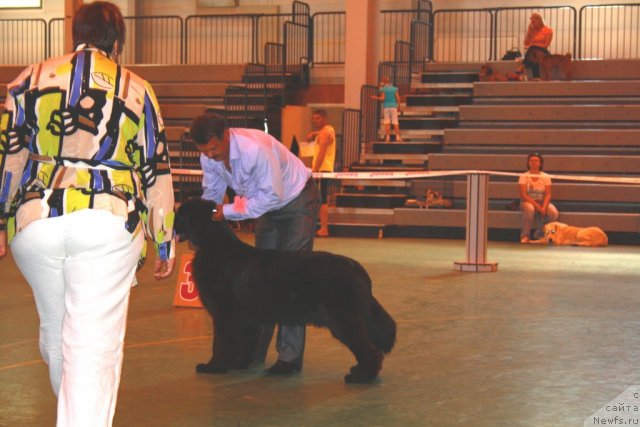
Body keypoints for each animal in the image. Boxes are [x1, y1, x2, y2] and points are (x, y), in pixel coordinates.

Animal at [174, 198, 396, 384]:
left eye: (179, 215)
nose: (172, 226)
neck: (214, 245)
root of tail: (355, 267)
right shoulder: (246, 318)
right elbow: (245, 342)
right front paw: (240, 363)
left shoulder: (223, 315)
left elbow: (219, 343)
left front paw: (213, 366)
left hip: (342, 318)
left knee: (369, 349)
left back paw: (361, 377)